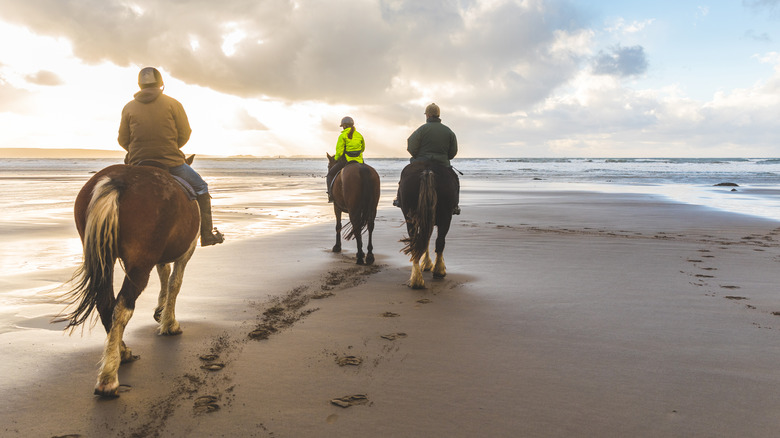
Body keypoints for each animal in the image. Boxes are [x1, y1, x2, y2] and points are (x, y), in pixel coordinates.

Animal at [56, 163, 200, 396]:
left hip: (104, 259)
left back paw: (121, 353)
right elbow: (174, 283)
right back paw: (108, 378)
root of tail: (117, 180)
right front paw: (169, 323)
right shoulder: (185, 253)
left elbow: (164, 274)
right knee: (123, 306)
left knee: (106, 304)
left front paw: (160, 312)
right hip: (140, 264)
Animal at [400, 160, 460, 288]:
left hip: (411, 217)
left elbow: (425, 240)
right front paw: (428, 264)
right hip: (446, 217)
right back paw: (438, 271)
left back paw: (417, 279)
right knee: (440, 241)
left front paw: (426, 263)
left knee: (416, 243)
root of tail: (427, 170)